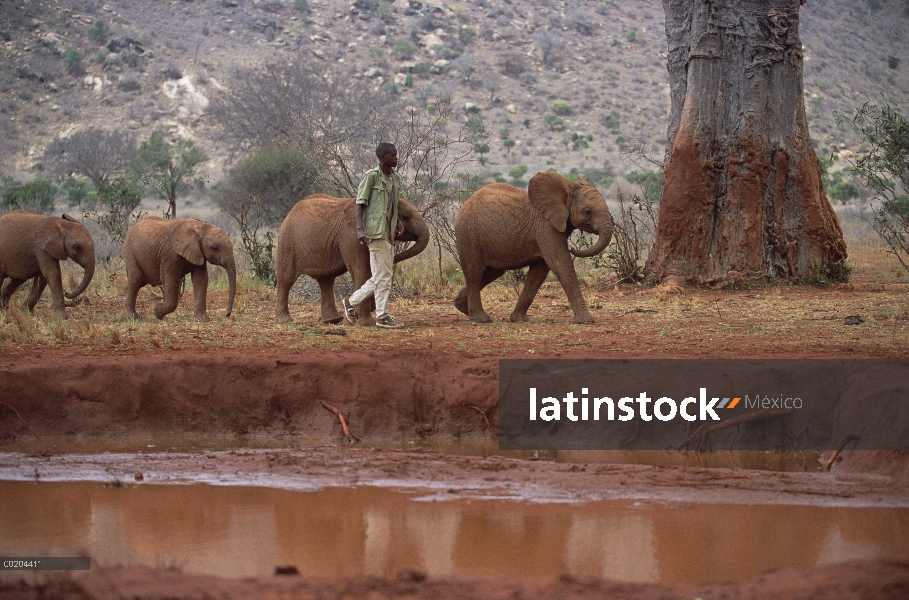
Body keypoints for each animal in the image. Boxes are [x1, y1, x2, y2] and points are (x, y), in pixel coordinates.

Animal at [274, 195, 430, 326]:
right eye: (406, 217)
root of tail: (291, 211)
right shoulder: (352, 236)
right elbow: (361, 270)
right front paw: (366, 323)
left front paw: (356, 312)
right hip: (287, 241)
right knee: (286, 279)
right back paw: (285, 321)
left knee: (326, 280)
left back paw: (333, 320)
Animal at [454, 171, 616, 324]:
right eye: (588, 211)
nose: (573, 248)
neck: (568, 189)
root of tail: (465, 204)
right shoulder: (546, 226)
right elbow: (560, 263)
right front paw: (586, 320)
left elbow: (540, 270)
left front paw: (519, 319)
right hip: (469, 233)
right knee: (475, 271)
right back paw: (481, 319)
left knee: (493, 272)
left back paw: (461, 307)